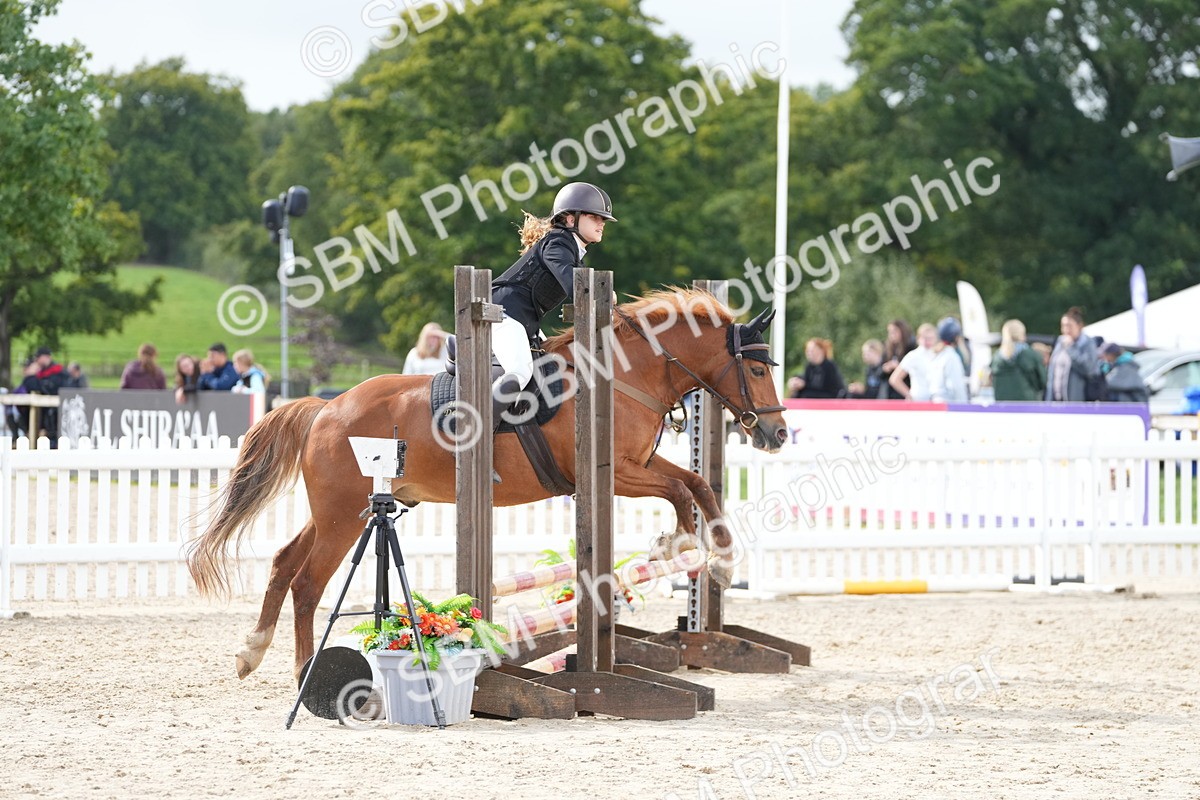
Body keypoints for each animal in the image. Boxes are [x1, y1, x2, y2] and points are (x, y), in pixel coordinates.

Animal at [187, 288, 788, 680]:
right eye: (758, 370)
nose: (778, 433)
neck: (626, 374)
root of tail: (326, 408)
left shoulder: (637, 465)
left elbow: (696, 484)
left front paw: (712, 558)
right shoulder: (615, 473)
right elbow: (683, 490)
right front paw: (685, 546)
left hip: (340, 510)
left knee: (284, 562)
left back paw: (251, 652)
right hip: (341, 516)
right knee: (308, 583)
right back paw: (302, 672)